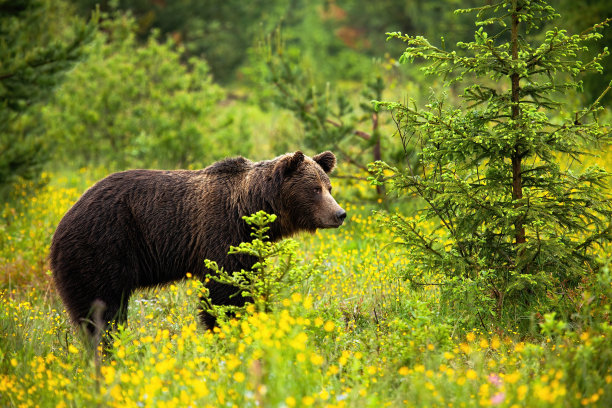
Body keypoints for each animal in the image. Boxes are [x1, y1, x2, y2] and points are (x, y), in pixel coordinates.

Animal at [49, 150, 344, 334]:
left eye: (329, 187)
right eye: (315, 189)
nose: (339, 214)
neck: (250, 209)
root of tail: (62, 222)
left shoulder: (247, 246)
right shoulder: (221, 232)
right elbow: (223, 291)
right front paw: (227, 328)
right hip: (102, 246)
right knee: (101, 309)